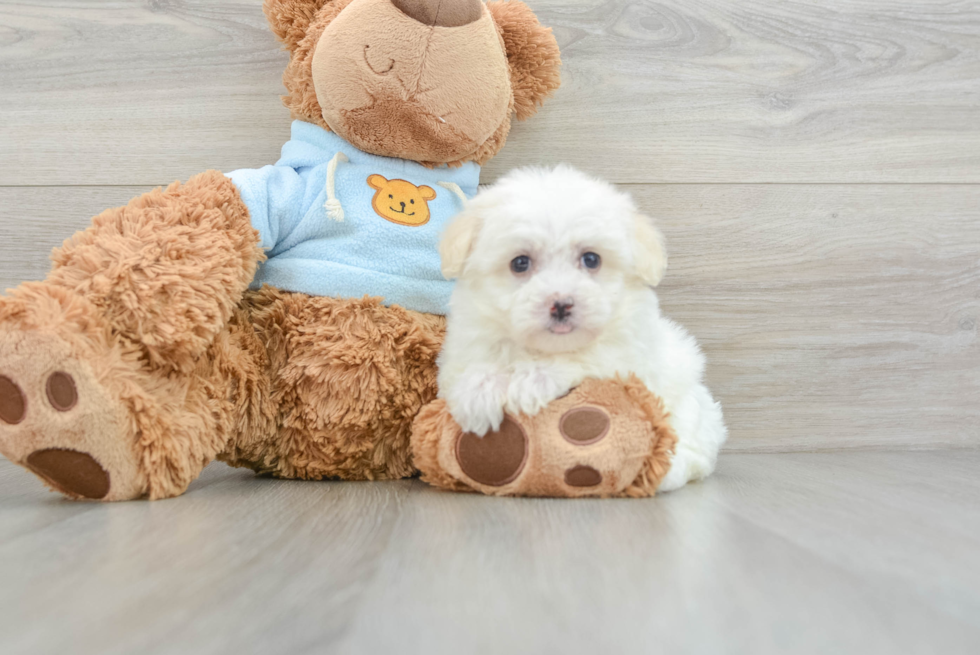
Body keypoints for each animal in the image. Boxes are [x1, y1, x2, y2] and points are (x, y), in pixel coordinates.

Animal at [436, 167, 728, 490]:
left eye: (591, 259)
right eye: (520, 263)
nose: (561, 305)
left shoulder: (629, 357)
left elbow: (584, 356)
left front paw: (531, 381)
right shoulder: (464, 345)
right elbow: (472, 367)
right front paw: (478, 396)